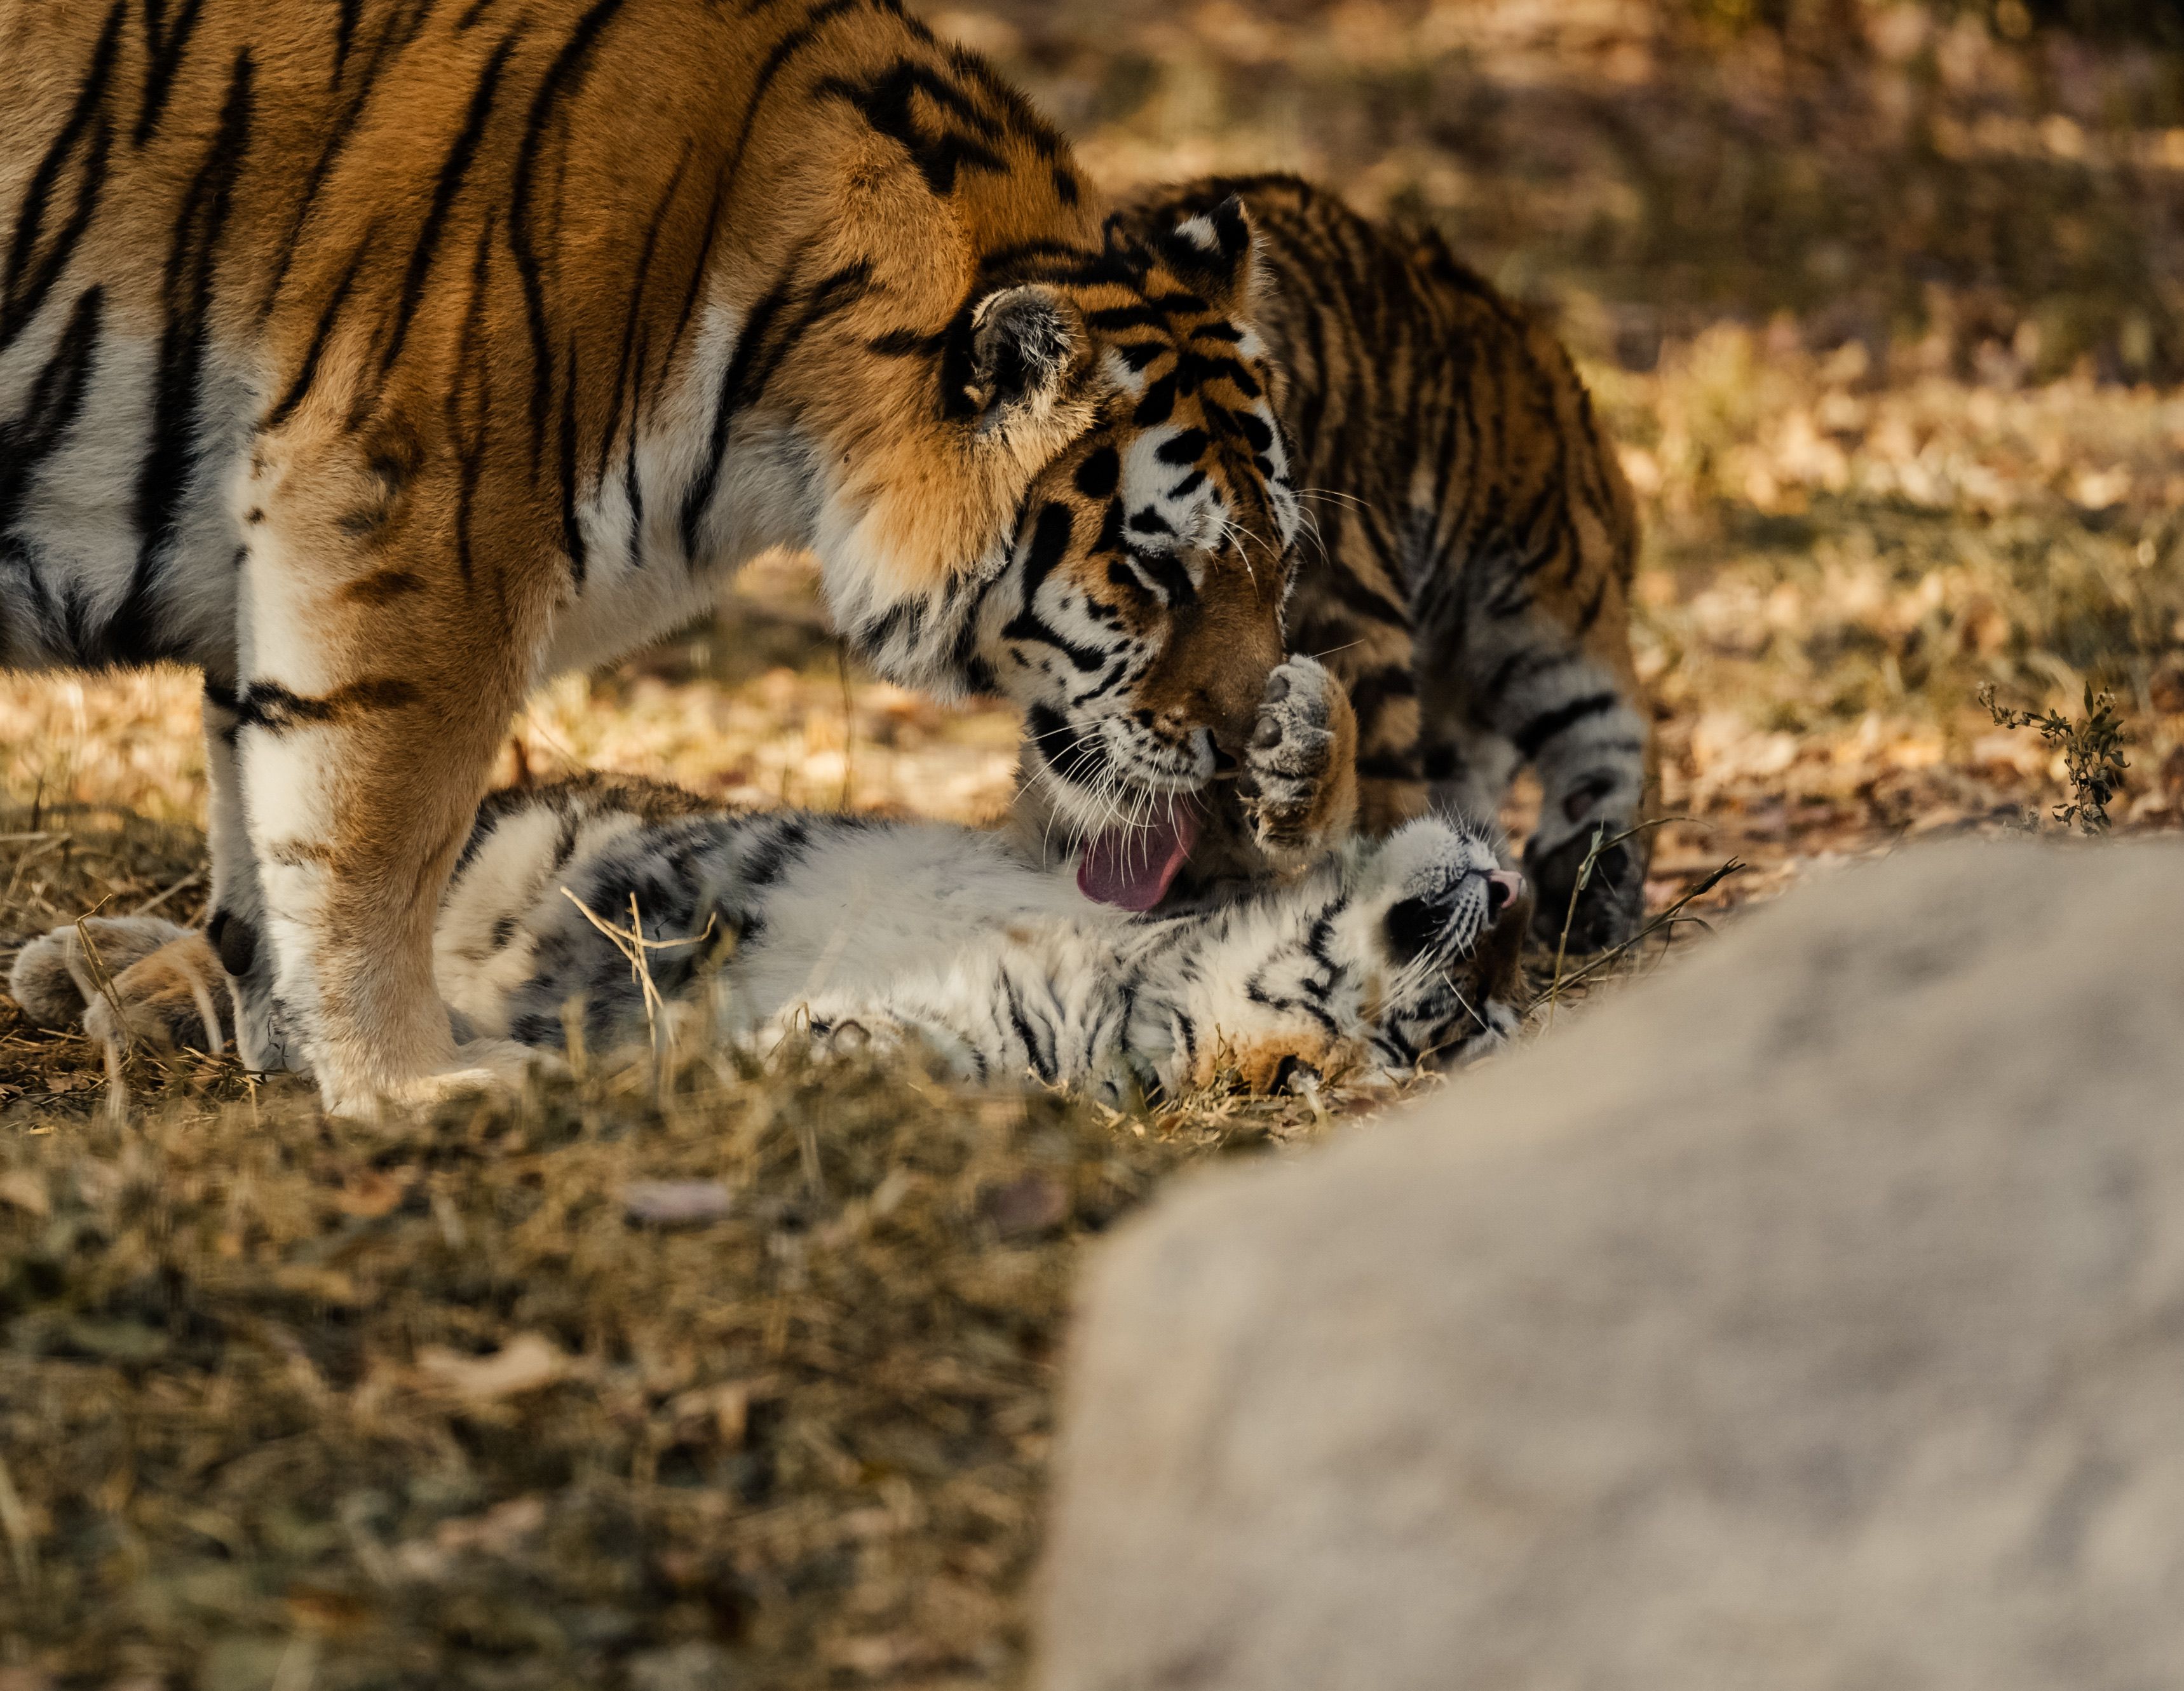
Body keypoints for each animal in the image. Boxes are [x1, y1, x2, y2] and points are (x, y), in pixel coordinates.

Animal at [0, 0, 1313, 1117]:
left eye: (1280, 566)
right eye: (1159, 571)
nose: (1244, 752)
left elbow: (259, 818)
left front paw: (274, 1032)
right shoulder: (408, 517)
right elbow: (374, 835)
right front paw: (415, 1081)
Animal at [10, 715, 1529, 1104]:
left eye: (1462, 1016)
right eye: (1490, 977)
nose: (1510, 884)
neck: (1159, 974)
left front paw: (808, 1044)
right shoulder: (1083, 853)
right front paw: (1302, 738)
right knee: (250, 923)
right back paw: (77, 967)